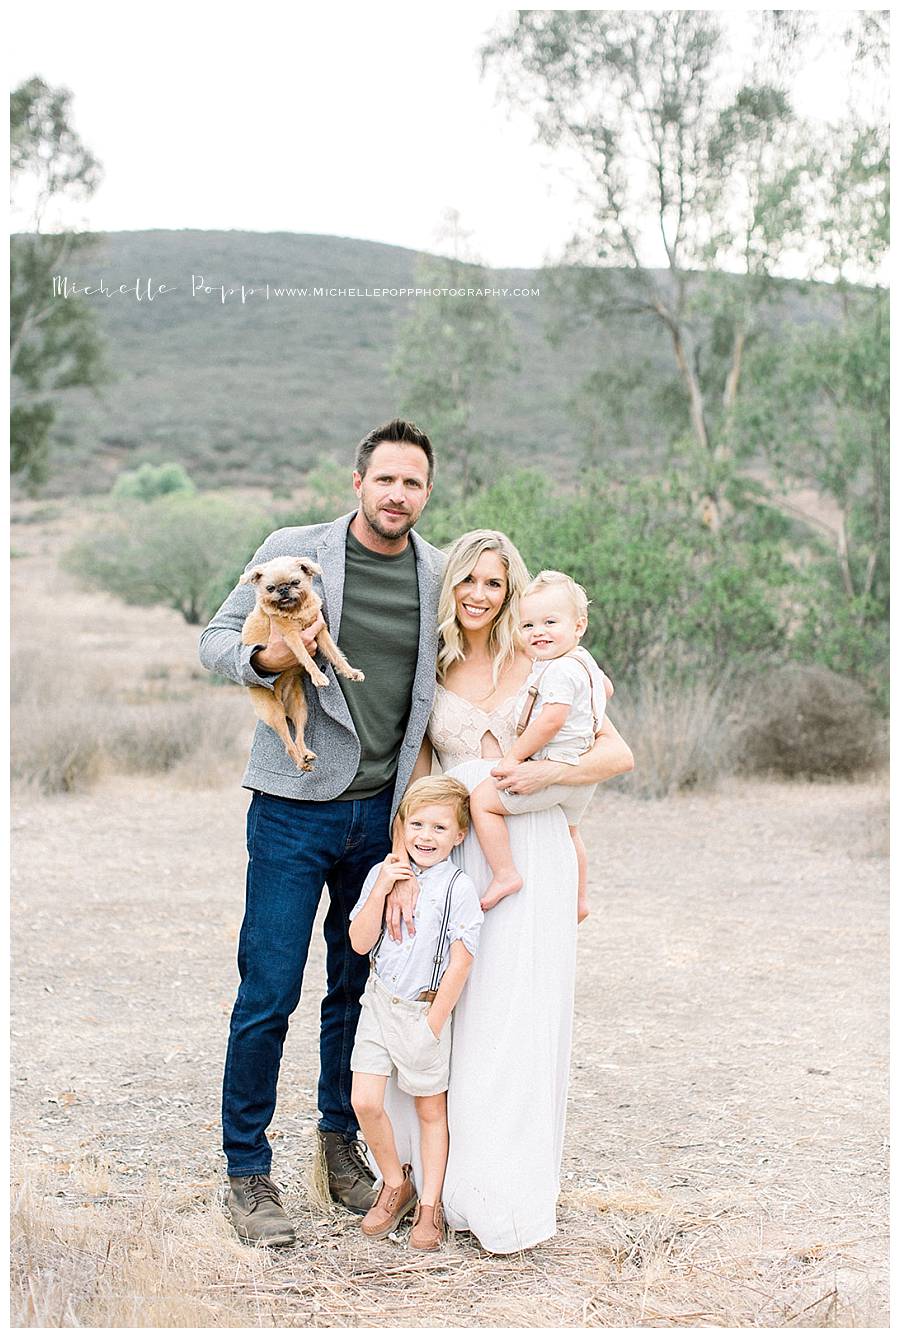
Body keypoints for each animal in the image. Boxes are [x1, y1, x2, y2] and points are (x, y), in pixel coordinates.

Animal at [242, 556, 363, 776]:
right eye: (270, 588)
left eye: (296, 582)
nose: (283, 589)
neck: (296, 610)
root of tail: (280, 694)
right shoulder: (293, 638)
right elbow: (307, 659)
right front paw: (319, 677)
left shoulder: (320, 631)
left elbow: (335, 654)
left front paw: (350, 672)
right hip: (275, 714)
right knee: (288, 744)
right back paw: (301, 762)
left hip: (301, 709)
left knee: (298, 737)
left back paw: (306, 754)